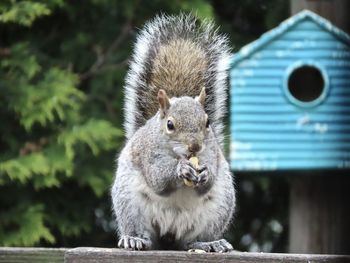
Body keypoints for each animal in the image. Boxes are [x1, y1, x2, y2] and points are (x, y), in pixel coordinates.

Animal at [111, 14, 235, 254]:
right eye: (170, 125)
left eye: (207, 122)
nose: (195, 146)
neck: (179, 154)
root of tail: (169, 233)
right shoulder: (148, 154)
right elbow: (158, 178)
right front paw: (180, 170)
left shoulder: (211, 153)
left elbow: (208, 176)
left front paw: (205, 174)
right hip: (129, 203)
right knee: (143, 233)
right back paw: (134, 239)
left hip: (218, 208)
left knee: (190, 241)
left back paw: (209, 243)